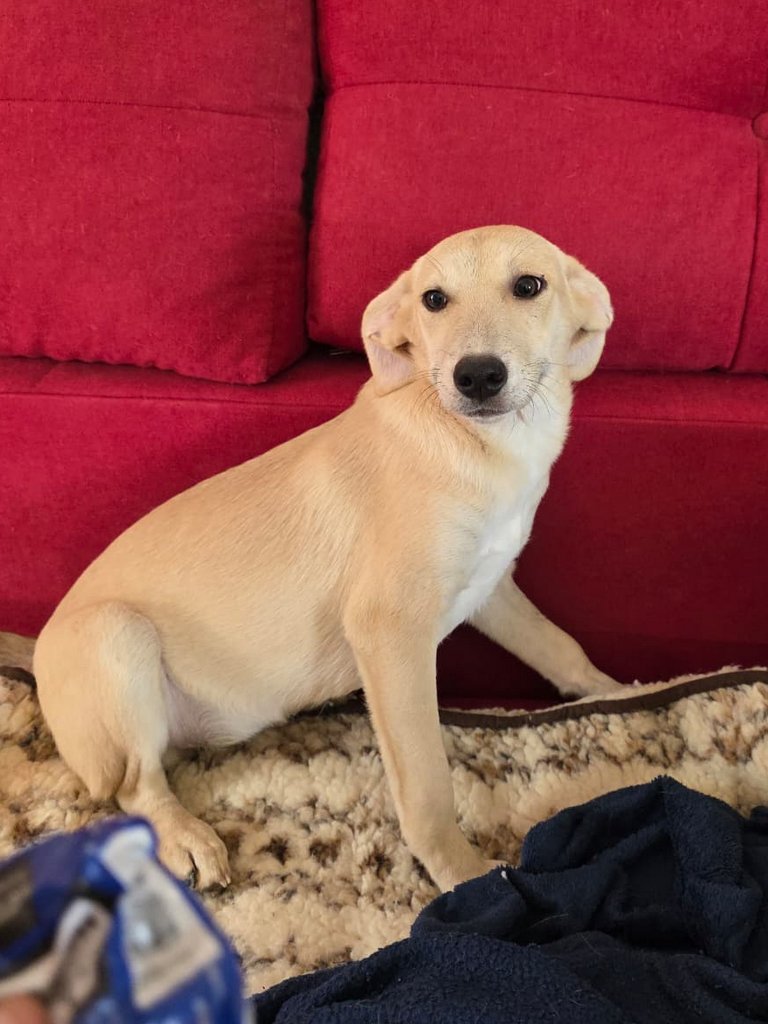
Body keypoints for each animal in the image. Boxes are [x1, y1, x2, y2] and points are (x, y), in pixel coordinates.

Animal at [30, 225, 619, 893]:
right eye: (433, 300)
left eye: (529, 286)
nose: (476, 377)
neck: (485, 443)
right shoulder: (389, 630)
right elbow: (426, 782)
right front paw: (464, 875)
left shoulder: (491, 587)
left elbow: (560, 647)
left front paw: (617, 693)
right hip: (114, 633)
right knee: (133, 785)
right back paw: (184, 838)